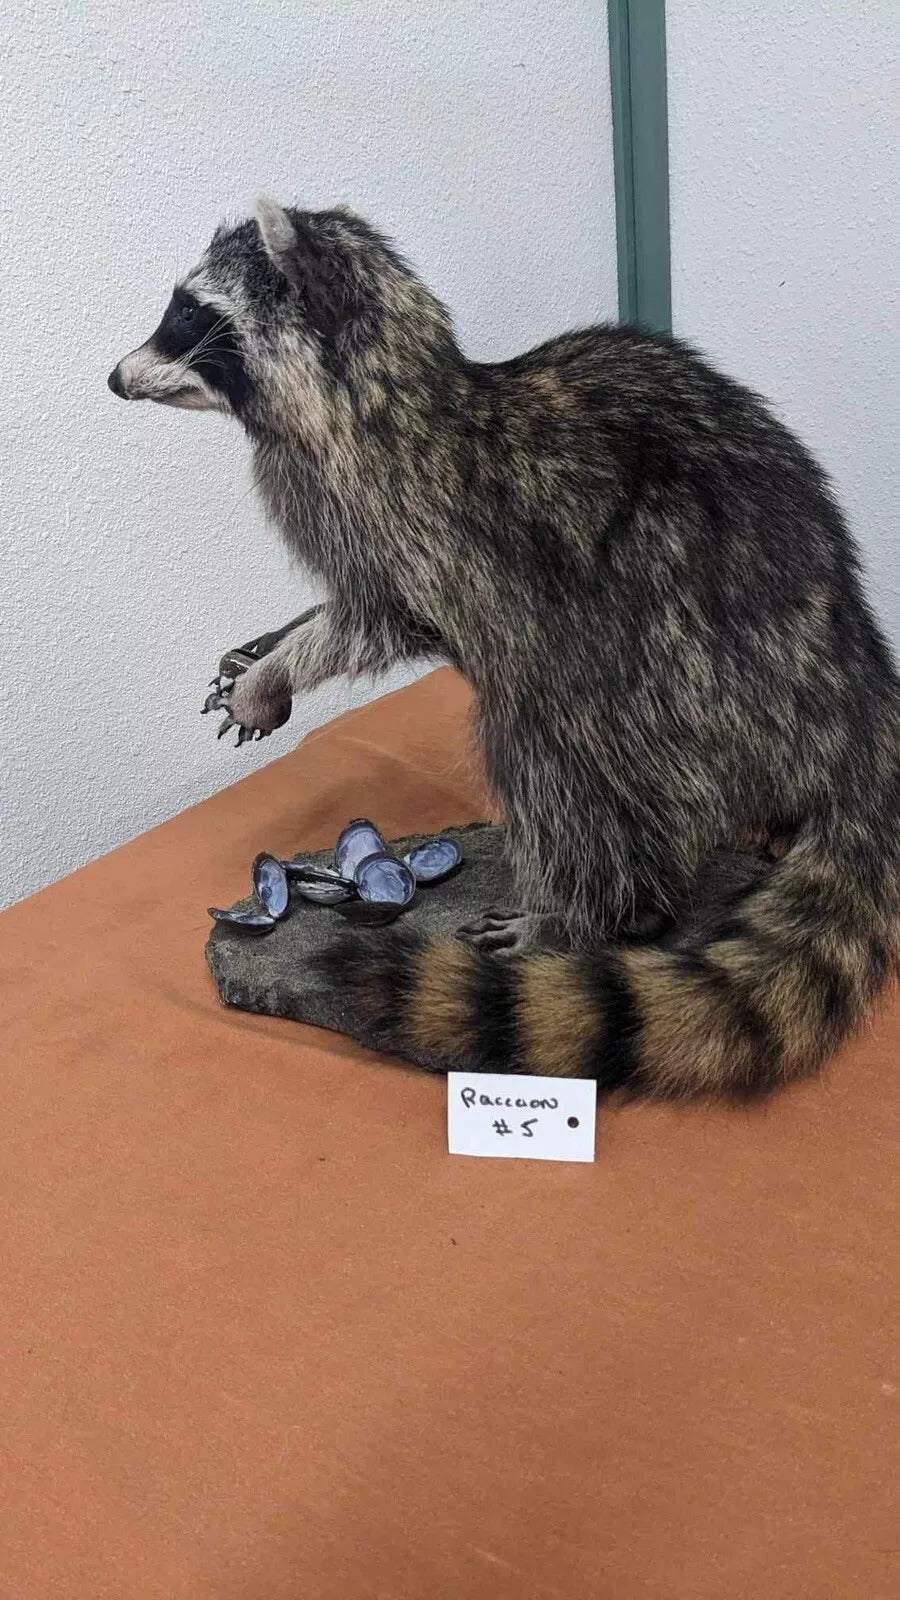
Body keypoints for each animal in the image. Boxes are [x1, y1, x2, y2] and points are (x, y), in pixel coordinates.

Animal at [109, 197, 900, 1097]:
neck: (387, 392)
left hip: (688, 675)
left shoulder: (434, 527)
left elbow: (380, 620)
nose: (113, 379)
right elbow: (361, 608)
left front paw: (282, 666)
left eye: (189, 315)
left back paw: (602, 912)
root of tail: (855, 696)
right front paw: (274, 642)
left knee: (557, 749)